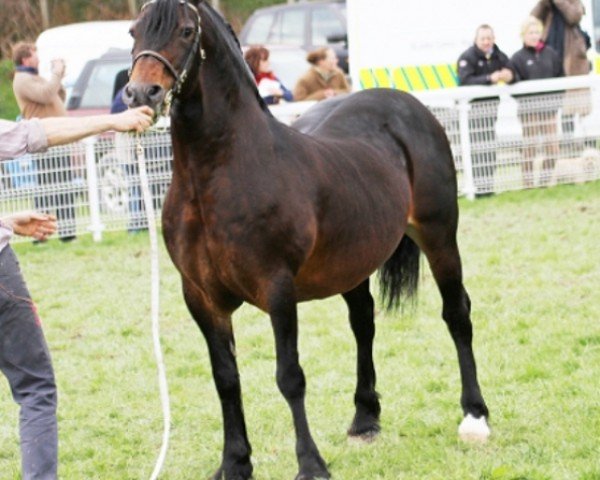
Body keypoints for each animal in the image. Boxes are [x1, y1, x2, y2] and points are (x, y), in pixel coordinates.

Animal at [126, 0, 492, 476]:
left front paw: (311, 463)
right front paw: (235, 463)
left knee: (457, 314)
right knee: (364, 322)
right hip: (353, 260)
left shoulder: (277, 289)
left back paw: (475, 417)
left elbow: (289, 376)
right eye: (133, 31)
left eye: (186, 31)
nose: (141, 94)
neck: (220, 174)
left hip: (439, 234)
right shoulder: (201, 298)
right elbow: (226, 380)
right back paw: (364, 418)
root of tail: (409, 105)